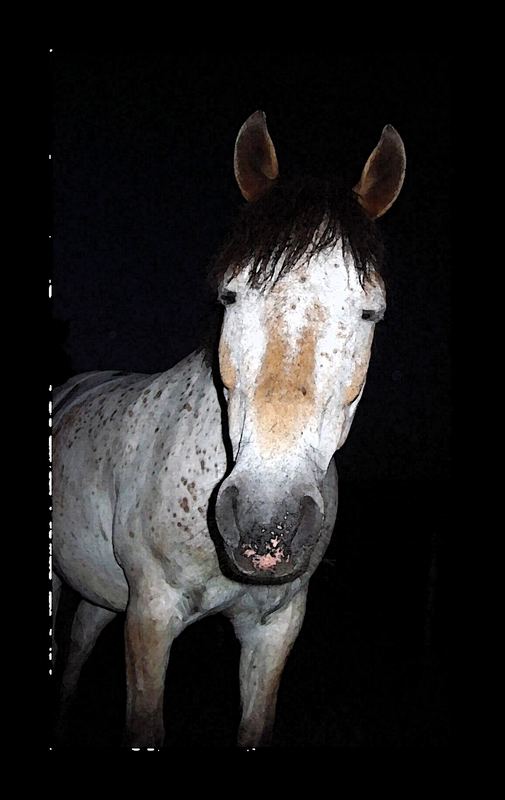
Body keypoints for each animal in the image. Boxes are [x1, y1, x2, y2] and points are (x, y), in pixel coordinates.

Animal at [52, 109, 406, 748]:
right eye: (230, 293)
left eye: (371, 310)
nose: (268, 526)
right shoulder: (151, 617)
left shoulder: (274, 628)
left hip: (100, 596)